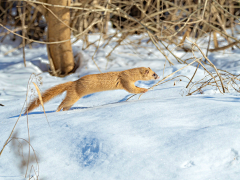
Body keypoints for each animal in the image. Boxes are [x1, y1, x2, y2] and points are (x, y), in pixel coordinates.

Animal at [24, 67, 159, 113]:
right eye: (153, 74)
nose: (158, 76)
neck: (126, 73)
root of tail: (73, 82)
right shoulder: (125, 80)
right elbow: (131, 89)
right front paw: (144, 89)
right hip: (74, 95)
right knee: (62, 103)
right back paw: (57, 111)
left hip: (72, 98)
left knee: (66, 105)